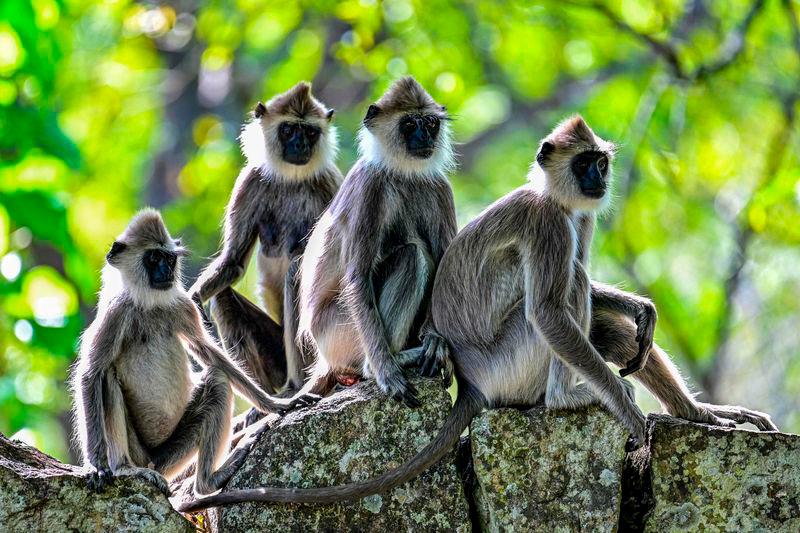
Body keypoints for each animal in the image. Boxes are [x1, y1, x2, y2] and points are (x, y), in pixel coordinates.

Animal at [72, 208, 318, 494]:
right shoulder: (116, 313)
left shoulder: (183, 306)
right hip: (141, 453)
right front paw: (95, 465)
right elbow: (91, 374)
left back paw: (208, 482)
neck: (149, 305)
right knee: (107, 376)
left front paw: (277, 404)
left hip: (172, 456)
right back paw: (125, 468)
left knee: (218, 379)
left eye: (169, 259)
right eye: (153, 258)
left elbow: (210, 354)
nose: (166, 270)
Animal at [180, 115, 776, 512]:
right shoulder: (549, 223)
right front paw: (630, 416)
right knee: (555, 304)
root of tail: (470, 384)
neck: (552, 199)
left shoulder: (577, 219)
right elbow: (551, 313)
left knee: (604, 326)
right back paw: (566, 398)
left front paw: (642, 312)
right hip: (506, 363)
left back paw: (697, 413)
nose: (599, 179)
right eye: (586, 163)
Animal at [190, 81, 340, 392]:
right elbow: (233, 262)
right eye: (289, 130)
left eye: (310, 132)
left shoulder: (329, 183)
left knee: (296, 270)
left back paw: (300, 384)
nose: (300, 145)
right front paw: (193, 301)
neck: (292, 179)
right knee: (222, 296)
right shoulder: (250, 181)